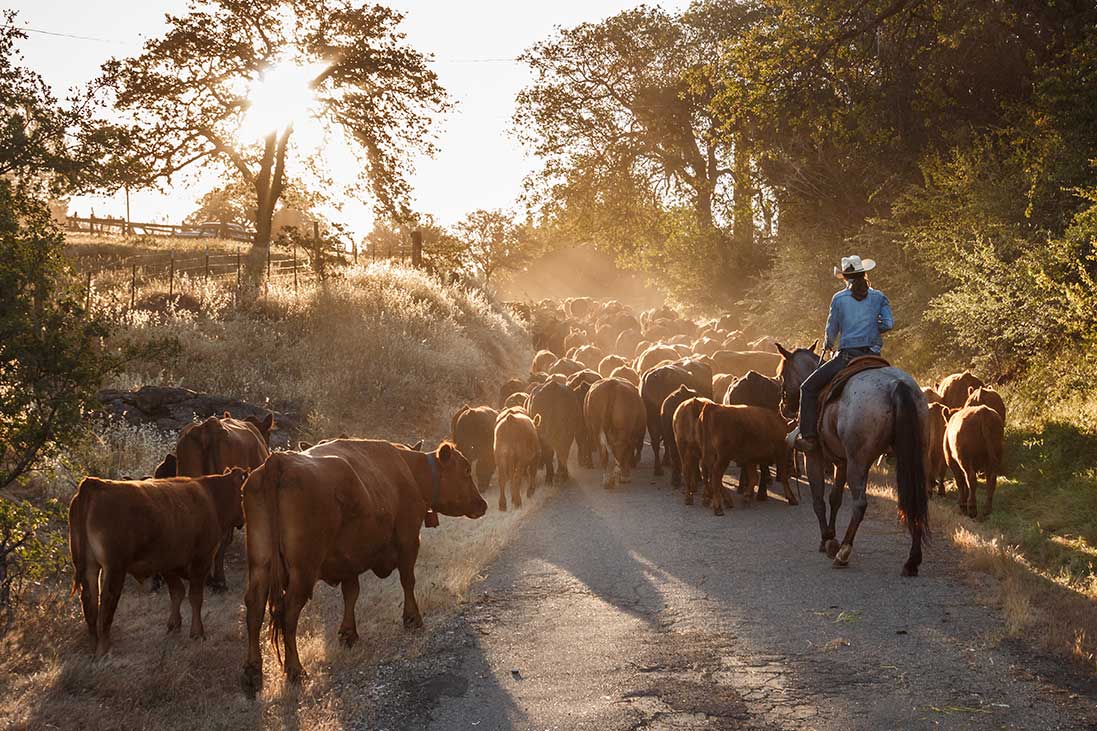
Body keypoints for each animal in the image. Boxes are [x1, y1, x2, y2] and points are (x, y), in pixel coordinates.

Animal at [70, 467, 249, 654]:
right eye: (242, 493)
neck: (211, 497)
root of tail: (94, 484)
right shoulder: (202, 560)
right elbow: (195, 597)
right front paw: (197, 633)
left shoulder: (168, 564)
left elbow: (177, 593)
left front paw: (174, 625)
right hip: (114, 568)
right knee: (106, 600)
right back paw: (104, 647)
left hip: (89, 567)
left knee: (90, 600)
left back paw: (93, 644)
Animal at [242, 439, 487, 689]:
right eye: (466, 470)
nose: (482, 504)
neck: (410, 471)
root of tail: (279, 460)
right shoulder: (409, 540)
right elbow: (408, 580)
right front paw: (412, 619)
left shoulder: (348, 559)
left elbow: (351, 594)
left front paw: (349, 633)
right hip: (303, 571)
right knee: (289, 614)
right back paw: (295, 670)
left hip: (261, 565)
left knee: (254, 608)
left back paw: (253, 670)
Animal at [776, 342, 930, 575]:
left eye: (782, 374)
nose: (783, 408)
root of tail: (897, 385)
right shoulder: (842, 462)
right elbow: (835, 498)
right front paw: (830, 536)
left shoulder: (815, 456)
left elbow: (819, 499)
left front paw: (827, 540)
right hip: (910, 459)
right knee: (914, 500)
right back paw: (912, 560)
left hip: (859, 463)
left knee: (860, 504)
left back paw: (844, 552)